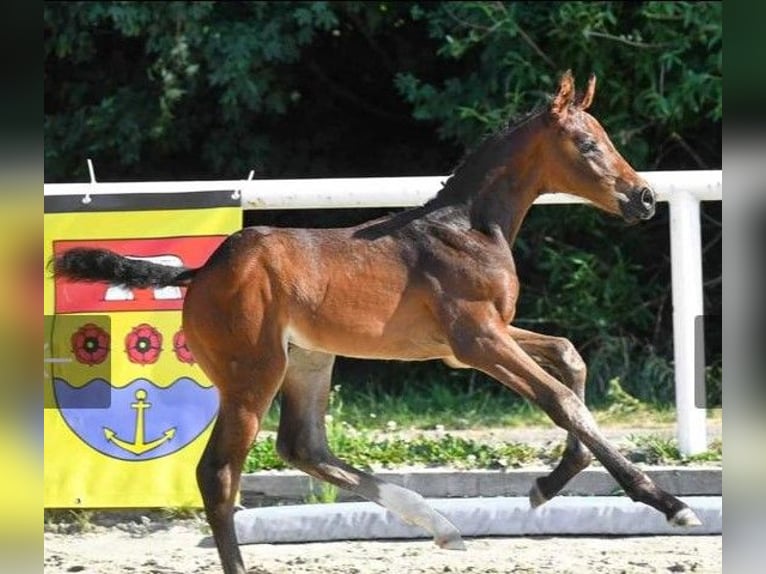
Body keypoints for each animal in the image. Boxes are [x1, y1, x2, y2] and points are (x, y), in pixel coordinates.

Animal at [54, 72, 704, 574]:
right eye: (587, 143)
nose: (645, 199)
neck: (469, 226)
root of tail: (203, 270)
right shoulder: (477, 340)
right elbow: (560, 399)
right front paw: (668, 503)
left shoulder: (482, 337)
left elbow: (570, 358)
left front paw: (549, 484)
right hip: (252, 375)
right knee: (219, 474)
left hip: (308, 360)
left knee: (303, 445)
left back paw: (440, 524)